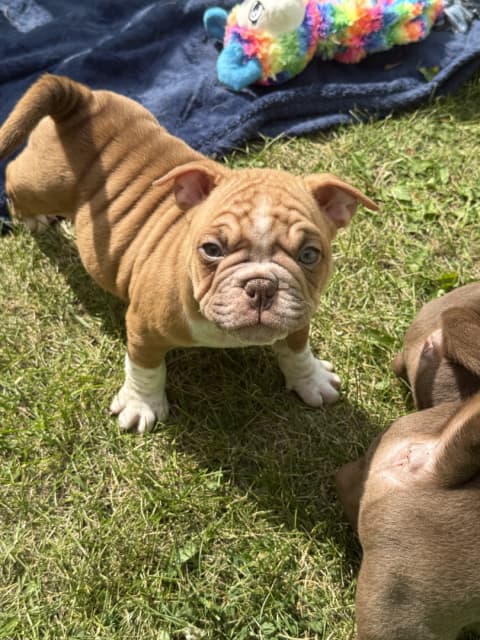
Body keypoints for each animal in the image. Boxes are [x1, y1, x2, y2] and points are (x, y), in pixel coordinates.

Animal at [0, 74, 377, 433]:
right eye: (211, 250)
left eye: (310, 255)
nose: (261, 287)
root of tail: (81, 101)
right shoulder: (142, 329)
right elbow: (146, 369)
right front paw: (142, 405)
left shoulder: (298, 316)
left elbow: (297, 349)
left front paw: (310, 379)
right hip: (41, 184)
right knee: (13, 178)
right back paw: (32, 218)